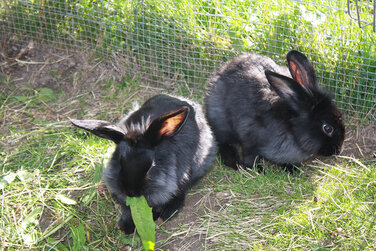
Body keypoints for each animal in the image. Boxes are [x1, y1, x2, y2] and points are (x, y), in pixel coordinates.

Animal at [207, 50, 346, 170]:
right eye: (328, 128)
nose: (338, 150)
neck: (292, 128)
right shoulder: (248, 135)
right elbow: (250, 155)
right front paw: (256, 169)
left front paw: (292, 169)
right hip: (221, 122)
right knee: (222, 141)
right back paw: (232, 161)